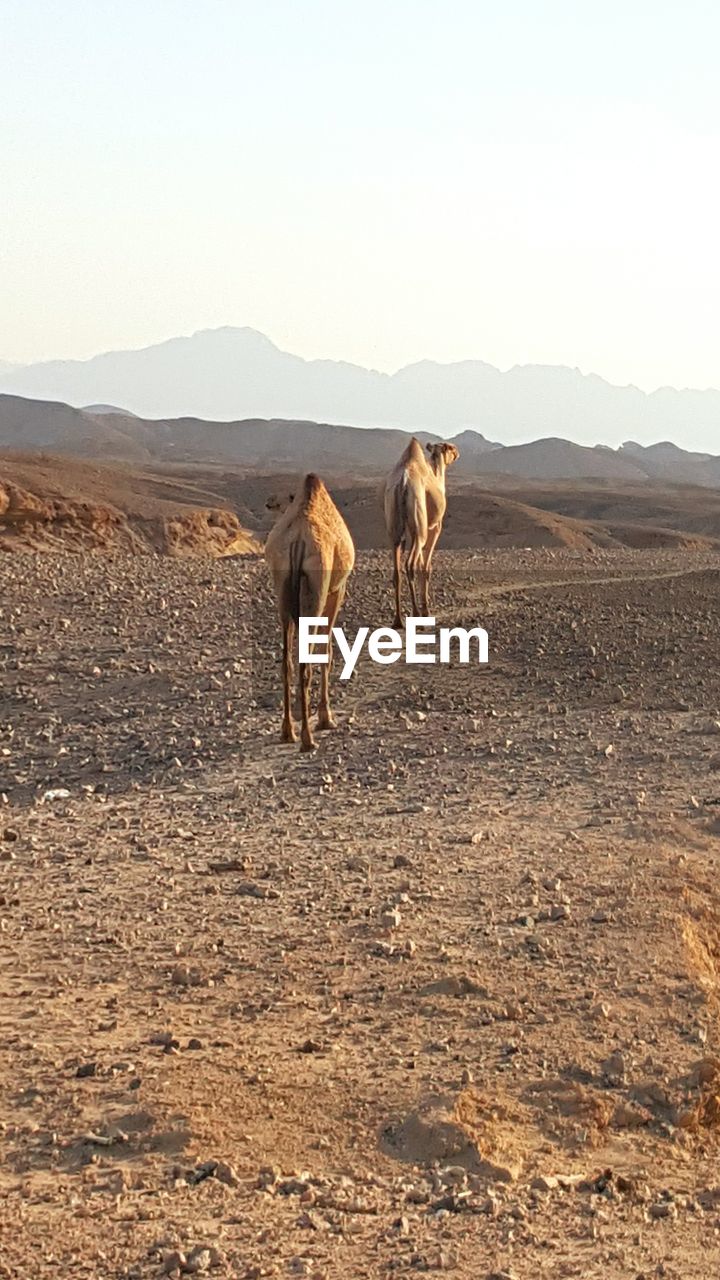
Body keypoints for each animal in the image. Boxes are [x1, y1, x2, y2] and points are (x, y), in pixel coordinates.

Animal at [262, 476, 353, 747]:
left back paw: (287, 731)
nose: (269, 502)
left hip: (283, 590)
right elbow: (328, 652)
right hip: (316, 591)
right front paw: (326, 717)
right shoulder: (336, 590)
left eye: (283, 498)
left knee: (287, 662)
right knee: (305, 661)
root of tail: (298, 542)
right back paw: (307, 739)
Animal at [384, 435, 456, 624]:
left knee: (397, 571)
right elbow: (426, 566)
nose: (457, 452)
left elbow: (422, 563)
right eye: (450, 447)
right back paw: (416, 614)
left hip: (395, 528)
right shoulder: (435, 527)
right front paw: (426, 610)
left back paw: (398, 620)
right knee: (410, 565)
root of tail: (403, 483)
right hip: (419, 527)